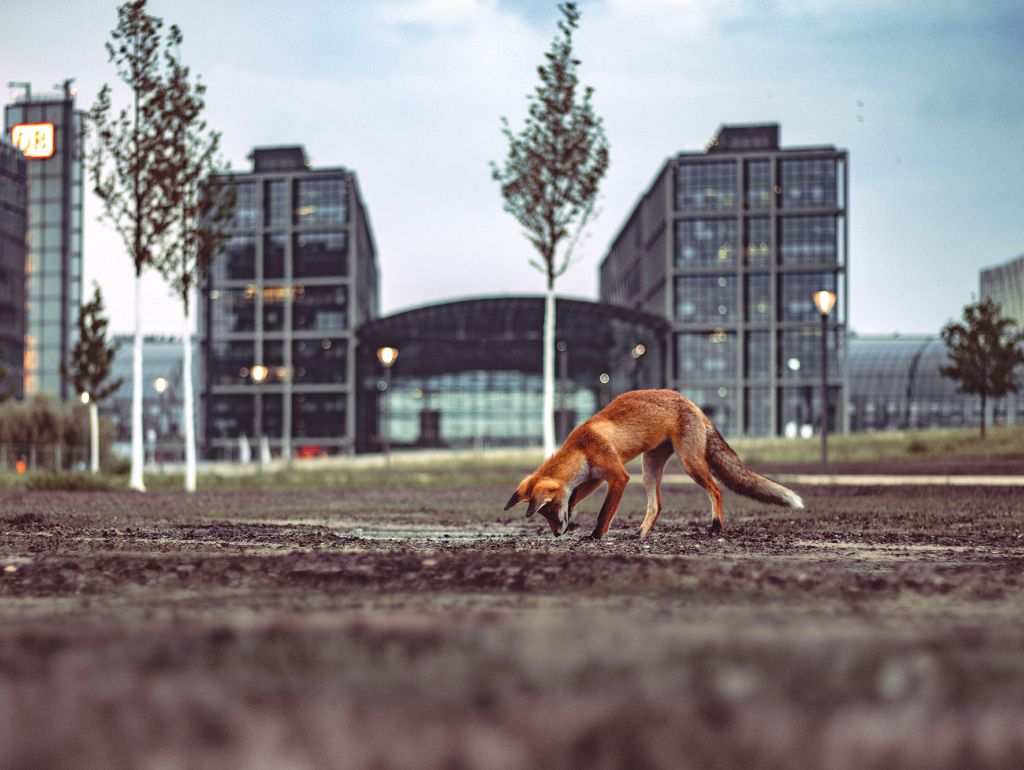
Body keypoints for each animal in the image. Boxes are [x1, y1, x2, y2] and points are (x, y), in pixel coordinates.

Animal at [501, 387, 798, 536]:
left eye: (548, 510)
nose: (556, 534)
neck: (581, 448)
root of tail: (694, 405)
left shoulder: (617, 476)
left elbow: (603, 513)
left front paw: (595, 536)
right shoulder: (595, 477)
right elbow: (574, 496)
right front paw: (574, 514)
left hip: (689, 463)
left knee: (716, 489)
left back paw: (715, 527)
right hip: (649, 468)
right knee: (656, 506)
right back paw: (641, 534)